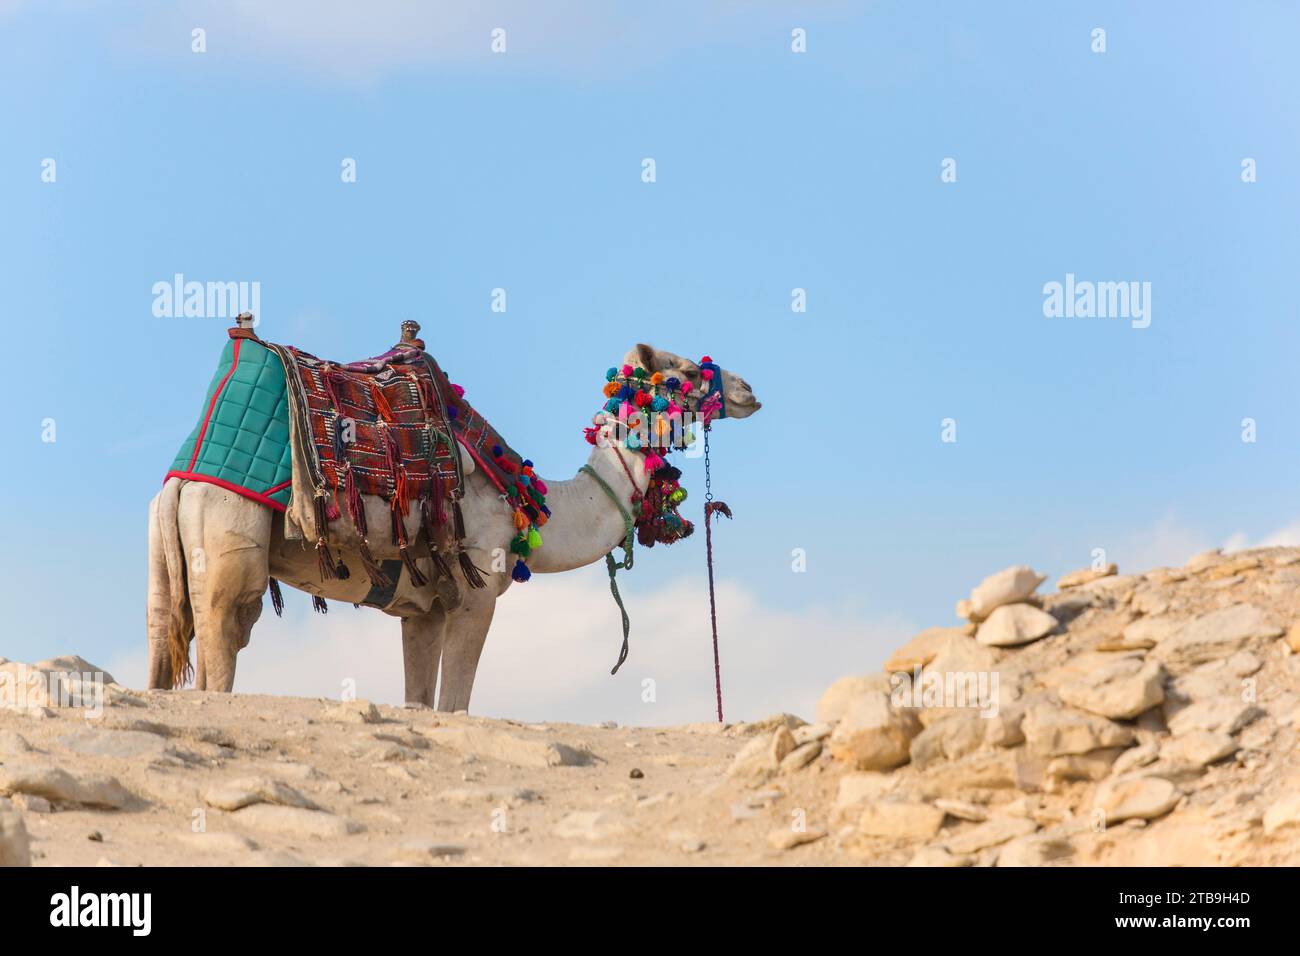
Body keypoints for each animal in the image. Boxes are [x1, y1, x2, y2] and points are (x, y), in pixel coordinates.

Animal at [147, 319, 759, 712]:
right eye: (685, 371)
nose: (747, 389)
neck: (533, 503)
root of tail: (181, 479)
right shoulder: (476, 589)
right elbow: (457, 705)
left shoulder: (423, 611)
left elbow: (422, 702)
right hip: (229, 537)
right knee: (225, 639)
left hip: (170, 551)